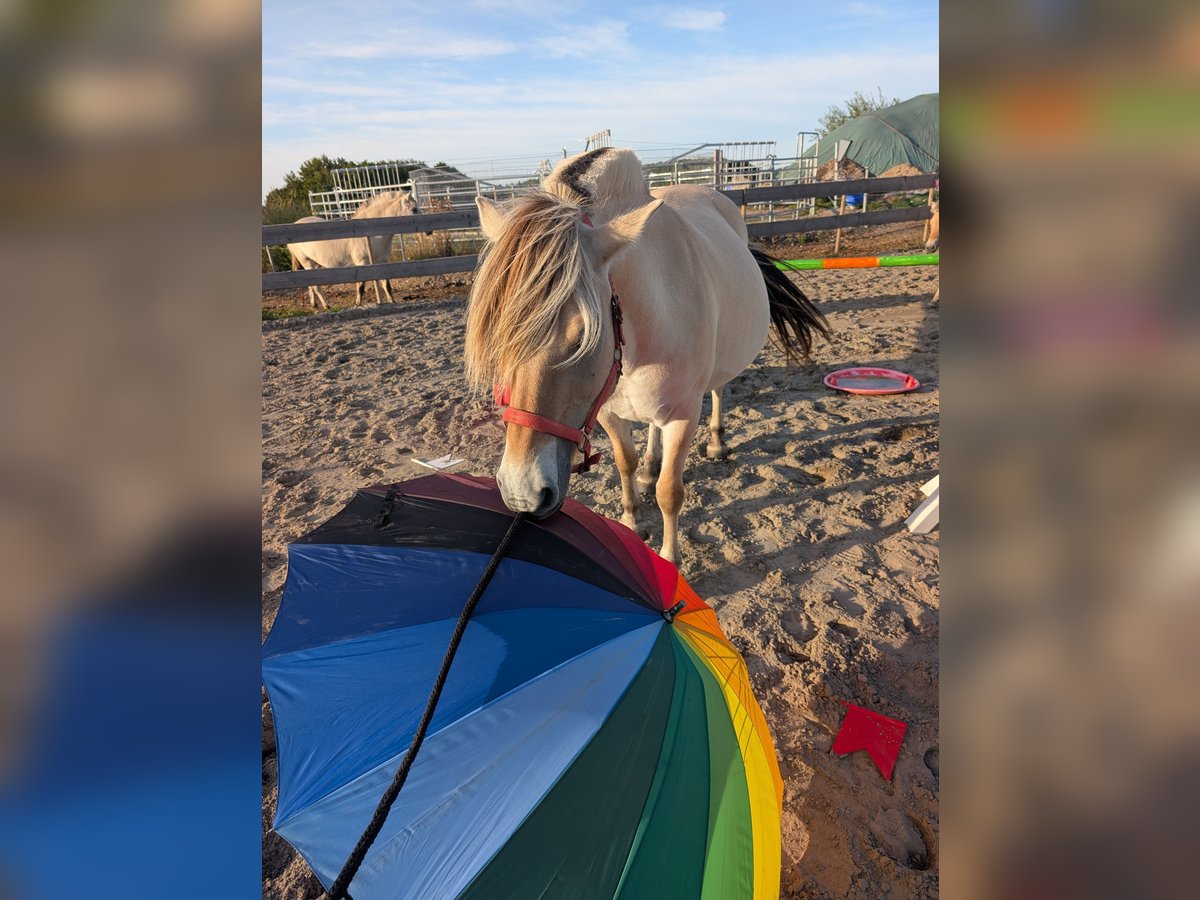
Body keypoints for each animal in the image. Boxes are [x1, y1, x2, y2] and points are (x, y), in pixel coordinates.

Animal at [287, 190, 421, 310]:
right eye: (414, 209)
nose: (426, 229)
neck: (371, 233)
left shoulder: (381, 263)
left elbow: (386, 285)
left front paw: (392, 301)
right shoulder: (362, 263)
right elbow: (361, 287)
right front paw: (358, 304)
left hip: (315, 264)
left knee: (310, 285)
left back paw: (314, 305)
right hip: (307, 262)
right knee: (316, 287)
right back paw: (326, 306)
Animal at [465, 148, 829, 566]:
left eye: (580, 338)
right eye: (497, 338)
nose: (522, 493)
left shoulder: (684, 415)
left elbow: (670, 491)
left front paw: (670, 559)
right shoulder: (606, 411)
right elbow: (626, 463)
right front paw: (631, 520)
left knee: (720, 390)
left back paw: (716, 443)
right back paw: (650, 466)